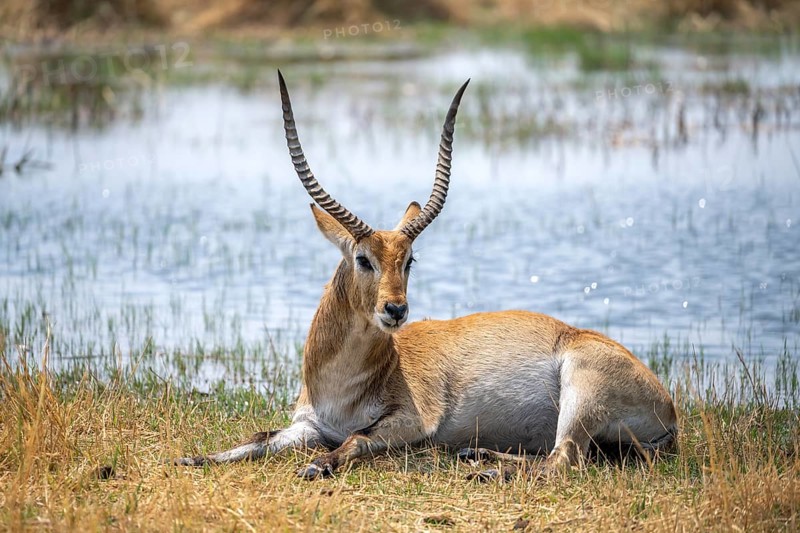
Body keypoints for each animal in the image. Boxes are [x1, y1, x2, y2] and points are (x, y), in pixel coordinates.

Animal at [174, 71, 677, 481]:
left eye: (409, 260)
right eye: (364, 258)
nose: (396, 309)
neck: (346, 384)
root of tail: (669, 408)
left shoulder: (411, 423)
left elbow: (356, 439)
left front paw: (317, 466)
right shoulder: (308, 425)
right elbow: (257, 438)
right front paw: (192, 459)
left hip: (579, 392)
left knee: (565, 459)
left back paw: (486, 469)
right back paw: (477, 456)